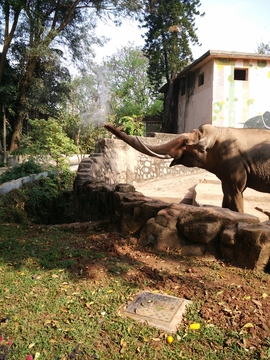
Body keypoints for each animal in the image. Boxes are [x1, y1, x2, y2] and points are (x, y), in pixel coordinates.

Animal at [104, 124, 270, 214]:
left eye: (185, 143)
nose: (106, 126)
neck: (218, 131)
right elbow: (227, 195)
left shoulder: (235, 164)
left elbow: (235, 194)